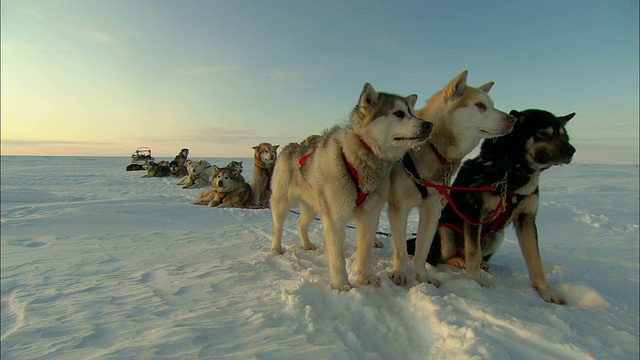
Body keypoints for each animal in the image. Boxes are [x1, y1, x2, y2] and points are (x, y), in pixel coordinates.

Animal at [416, 107, 576, 304]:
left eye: (564, 136)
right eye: (543, 134)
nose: (571, 150)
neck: (511, 175)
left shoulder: (526, 218)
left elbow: (535, 261)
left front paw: (546, 290)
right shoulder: (474, 213)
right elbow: (473, 252)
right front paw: (475, 281)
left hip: (496, 235)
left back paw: (480, 263)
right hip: (445, 230)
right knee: (441, 257)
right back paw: (457, 261)